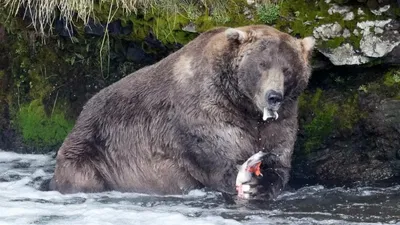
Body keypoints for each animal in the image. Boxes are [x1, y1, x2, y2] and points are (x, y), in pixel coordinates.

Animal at [47, 24, 316, 200]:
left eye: (287, 69)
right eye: (262, 65)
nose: (273, 96)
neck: (244, 105)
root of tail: (81, 114)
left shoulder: (281, 120)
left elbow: (279, 160)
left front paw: (263, 183)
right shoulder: (203, 112)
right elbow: (217, 157)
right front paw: (245, 177)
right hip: (94, 150)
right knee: (81, 175)